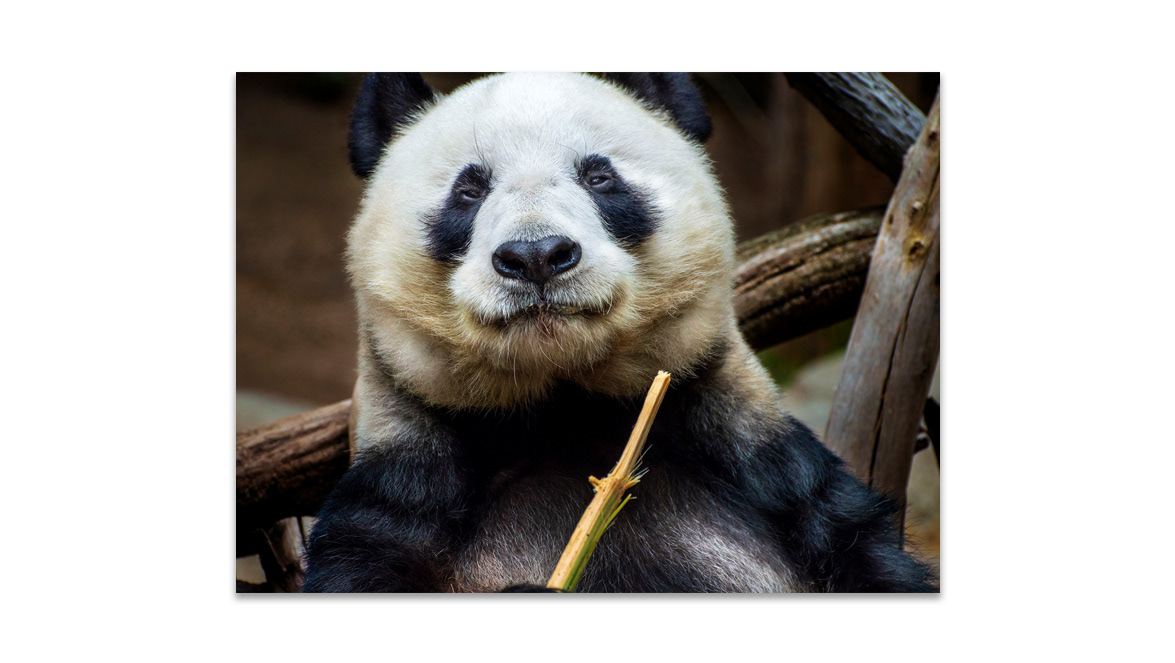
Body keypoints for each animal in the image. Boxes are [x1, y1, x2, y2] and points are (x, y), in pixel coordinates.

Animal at [302, 72, 937, 593]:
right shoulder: (405, 496)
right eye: (468, 189)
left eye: (600, 176)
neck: (564, 412)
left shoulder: (773, 475)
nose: (537, 255)